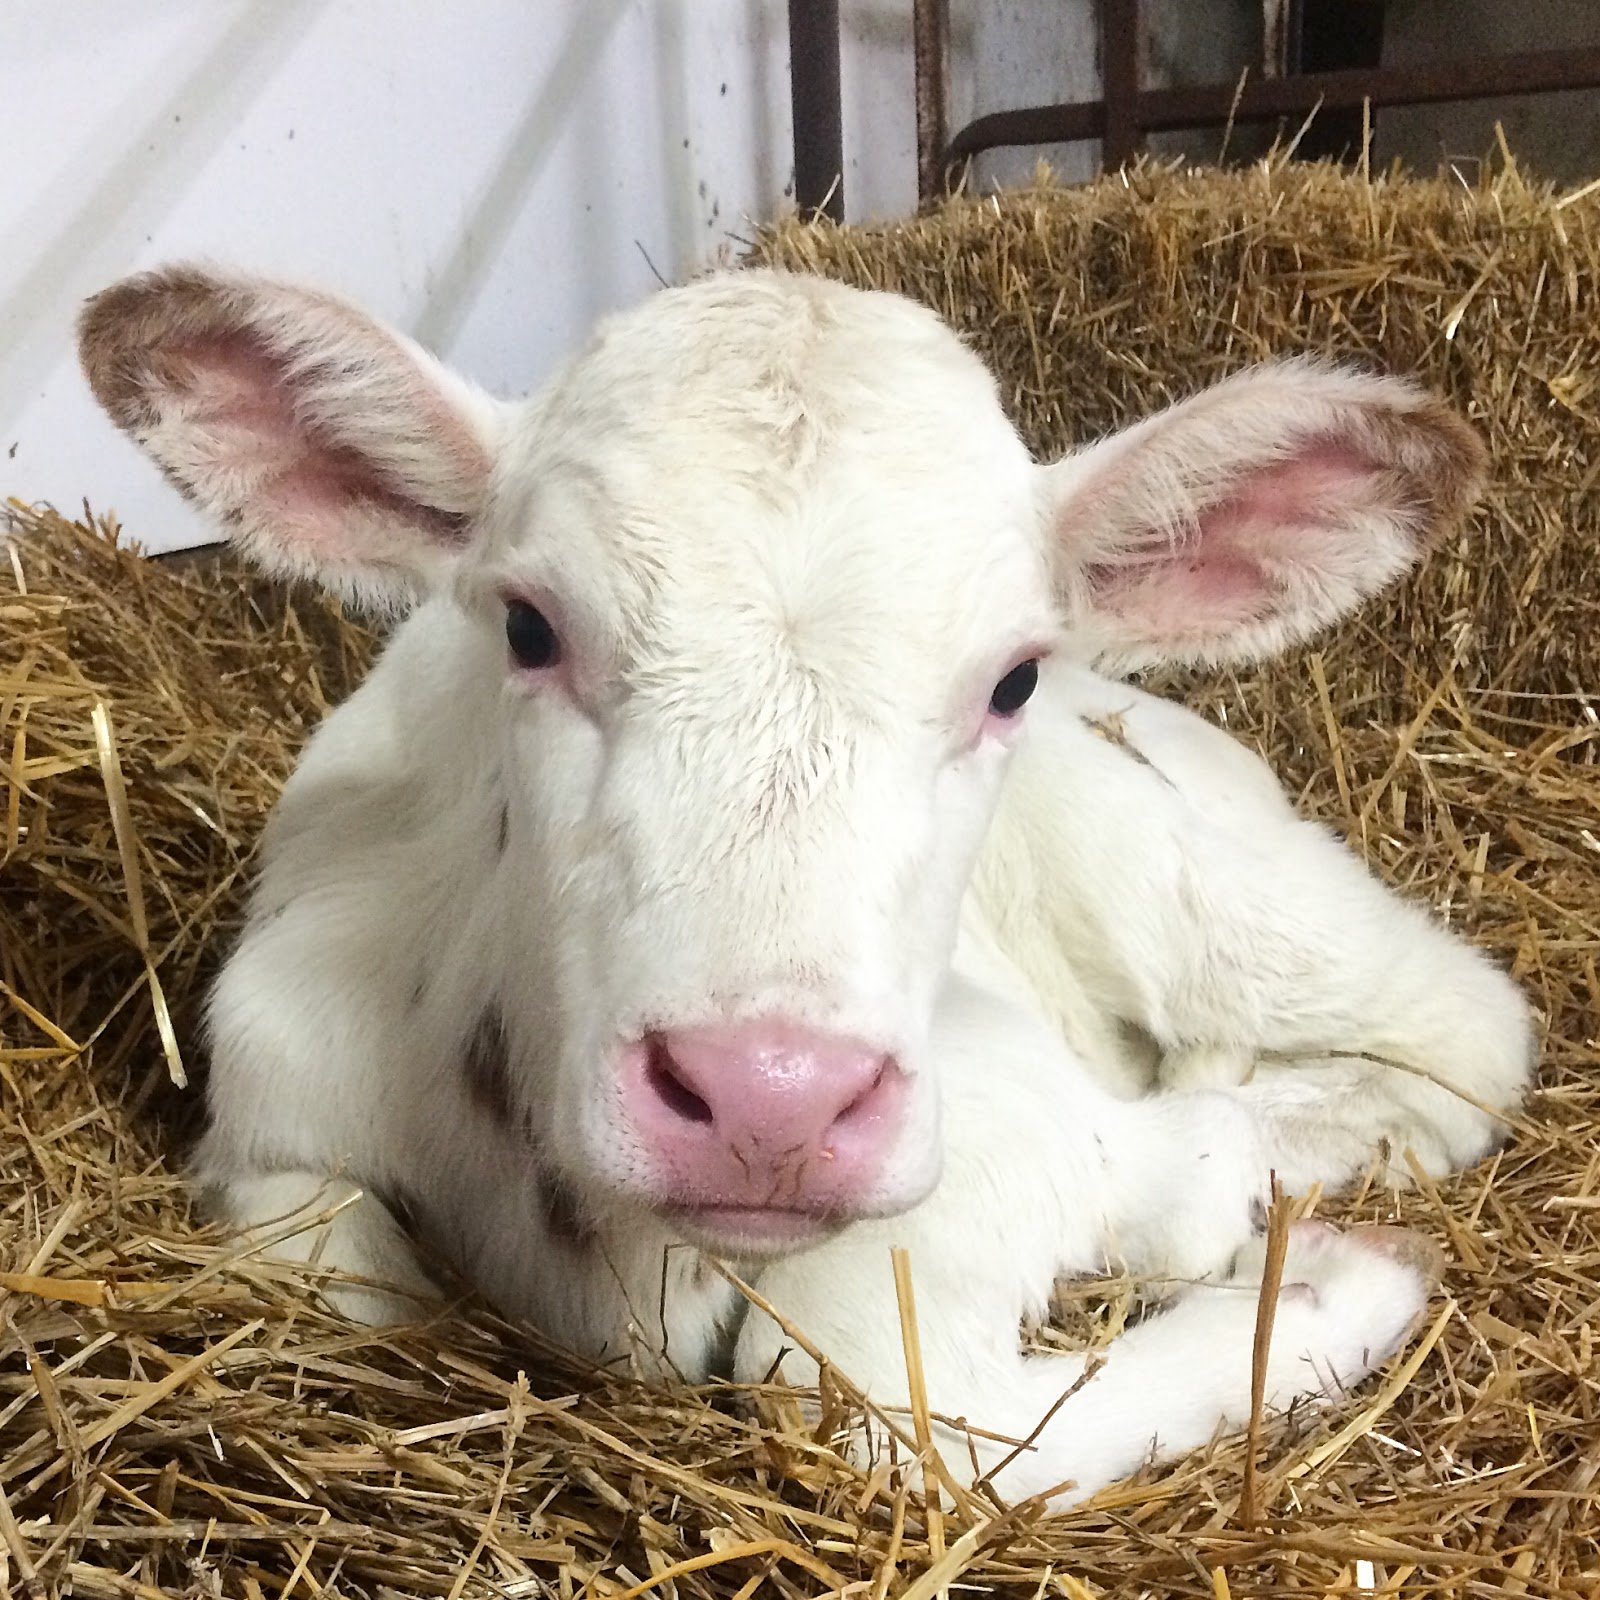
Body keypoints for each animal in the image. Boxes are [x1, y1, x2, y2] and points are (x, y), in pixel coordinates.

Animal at [78, 265, 1533, 1505]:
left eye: (1012, 677)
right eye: (529, 626)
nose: (764, 1100)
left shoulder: (982, 1125)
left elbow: (884, 1412)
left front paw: (1330, 1276)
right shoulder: (275, 1112)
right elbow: (329, 1270)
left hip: (1204, 892)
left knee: (1462, 1030)